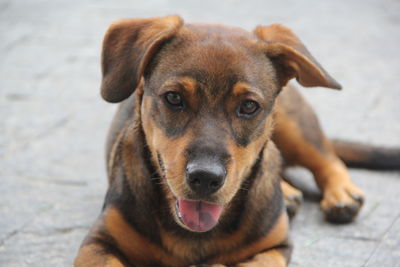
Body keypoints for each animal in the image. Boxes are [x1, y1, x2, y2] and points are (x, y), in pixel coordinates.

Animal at [75, 15, 400, 267]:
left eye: (249, 106)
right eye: (174, 98)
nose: (205, 178)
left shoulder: (275, 248)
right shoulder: (98, 243)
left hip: (295, 124)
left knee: (327, 157)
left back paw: (340, 194)